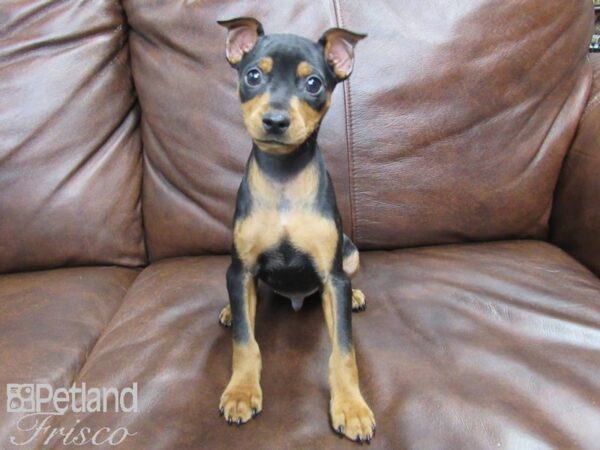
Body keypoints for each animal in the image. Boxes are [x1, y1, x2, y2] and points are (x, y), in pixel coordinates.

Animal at [216, 17, 376, 442]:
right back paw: (229, 308)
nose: (274, 121)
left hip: (349, 253)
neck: (283, 178)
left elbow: (344, 351)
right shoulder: (241, 268)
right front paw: (242, 391)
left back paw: (356, 296)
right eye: (253, 75)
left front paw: (351, 407)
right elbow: (244, 340)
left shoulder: (333, 276)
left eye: (314, 84)